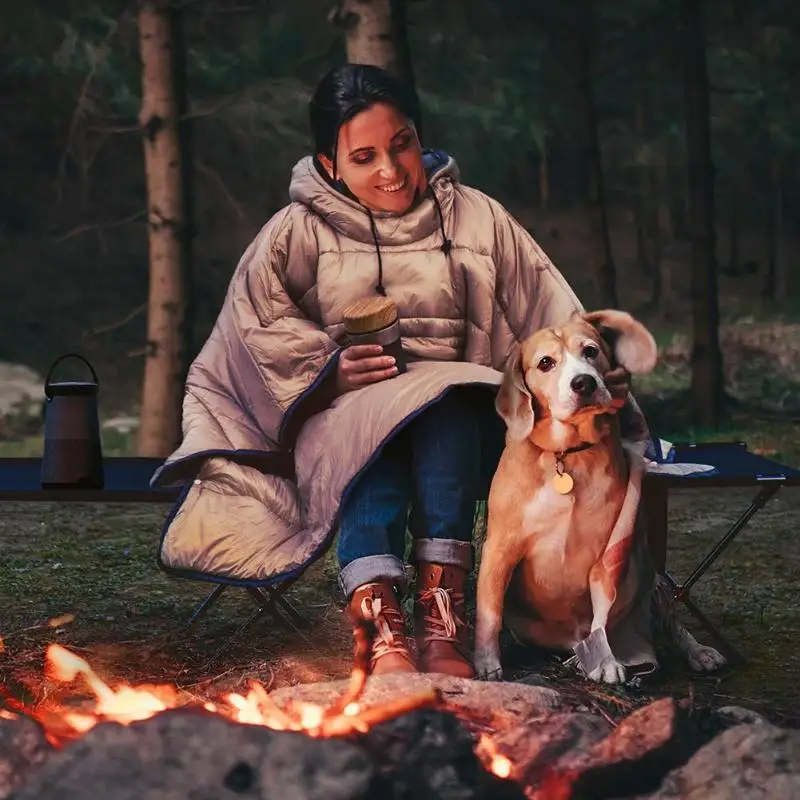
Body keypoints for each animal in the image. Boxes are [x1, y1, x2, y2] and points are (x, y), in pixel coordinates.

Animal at [476, 310, 732, 684]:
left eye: (591, 351)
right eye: (546, 363)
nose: (583, 383)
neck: (566, 456)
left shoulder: (608, 555)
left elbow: (603, 617)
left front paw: (608, 661)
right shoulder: (500, 548)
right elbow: (490, 611)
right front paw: (486, 662)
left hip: (651, 576)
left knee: (671, 623)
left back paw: (697, 652)